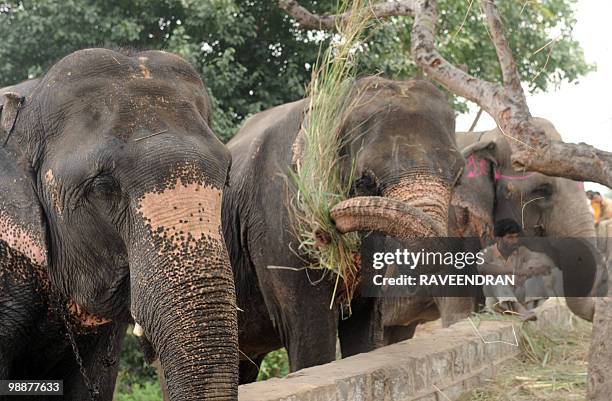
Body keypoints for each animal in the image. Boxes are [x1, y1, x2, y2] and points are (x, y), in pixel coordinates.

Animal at [221, 76, 464, 382]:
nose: (328, 225)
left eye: (459, 177)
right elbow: (312, 340)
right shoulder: (279, 223)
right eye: (364, 180)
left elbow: (364, 334)